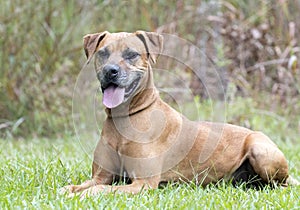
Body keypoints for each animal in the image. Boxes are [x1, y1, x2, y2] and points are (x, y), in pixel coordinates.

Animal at [61, 30, 298, 197]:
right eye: (103, 53)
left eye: (131, 55)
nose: (110, 71)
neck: (125, 118)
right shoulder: (102, 176)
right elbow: (76, 186)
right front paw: (69, 191)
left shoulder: (143, 183)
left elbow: (99, 190)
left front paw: (83, 195)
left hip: (261, 150)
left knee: (281, 185)